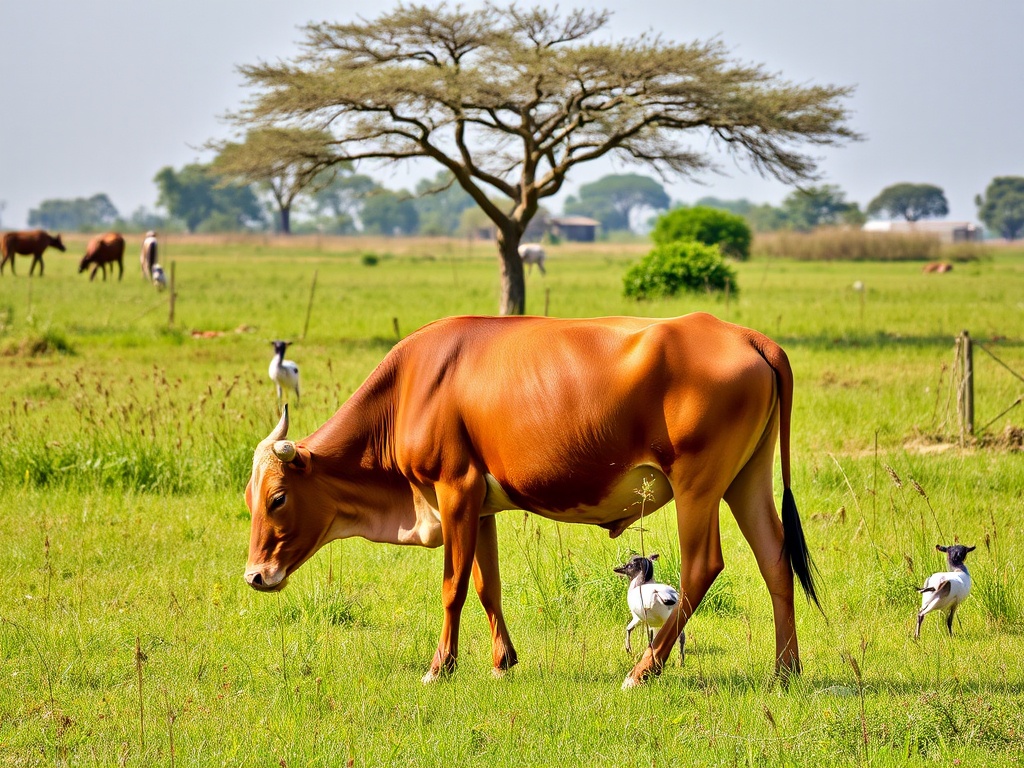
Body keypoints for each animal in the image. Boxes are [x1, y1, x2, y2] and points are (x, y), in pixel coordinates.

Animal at [243, 313, 819, 692]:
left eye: (278, 497)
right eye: (250, 498)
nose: (254, 575)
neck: (413, 385)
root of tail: (744, 334)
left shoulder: (454, 488)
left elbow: (453, 585)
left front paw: (439, 666)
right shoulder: (479, 503)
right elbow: (486, 584)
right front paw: (502, 660)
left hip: (698, 487)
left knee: (703, 565)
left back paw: (642, 671)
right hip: (746, 479)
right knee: (775, 559)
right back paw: (784, 670)